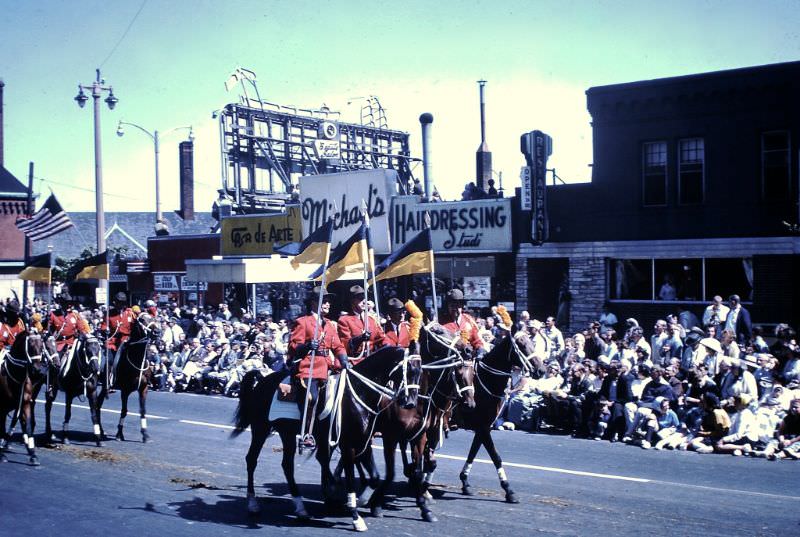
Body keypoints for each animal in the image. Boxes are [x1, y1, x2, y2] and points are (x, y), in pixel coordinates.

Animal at [0, 328, 46, 462]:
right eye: (30, 345)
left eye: (41, 346)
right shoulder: (2, 407)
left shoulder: (25, 403)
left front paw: (33, 454)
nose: (38, 370)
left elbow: (28, 425)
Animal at [97, 312, 159, 442]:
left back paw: (101, 431)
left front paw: (145, 434)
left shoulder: (143, 389)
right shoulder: (125, 391)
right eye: (142, 320)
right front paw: (119, 434)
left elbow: (143, 411)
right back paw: (100, 431)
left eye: (153, 318)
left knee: (98, 404)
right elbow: (124, 411)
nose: (157, 332)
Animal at [454, 328, 536, 504]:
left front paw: (465, 482)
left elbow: (473, 452)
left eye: (532, 342)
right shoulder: (483, 428)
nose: (541, 369)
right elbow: (495, 457)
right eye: (522, 345)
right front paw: (509, 490)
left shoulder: (483, 428)